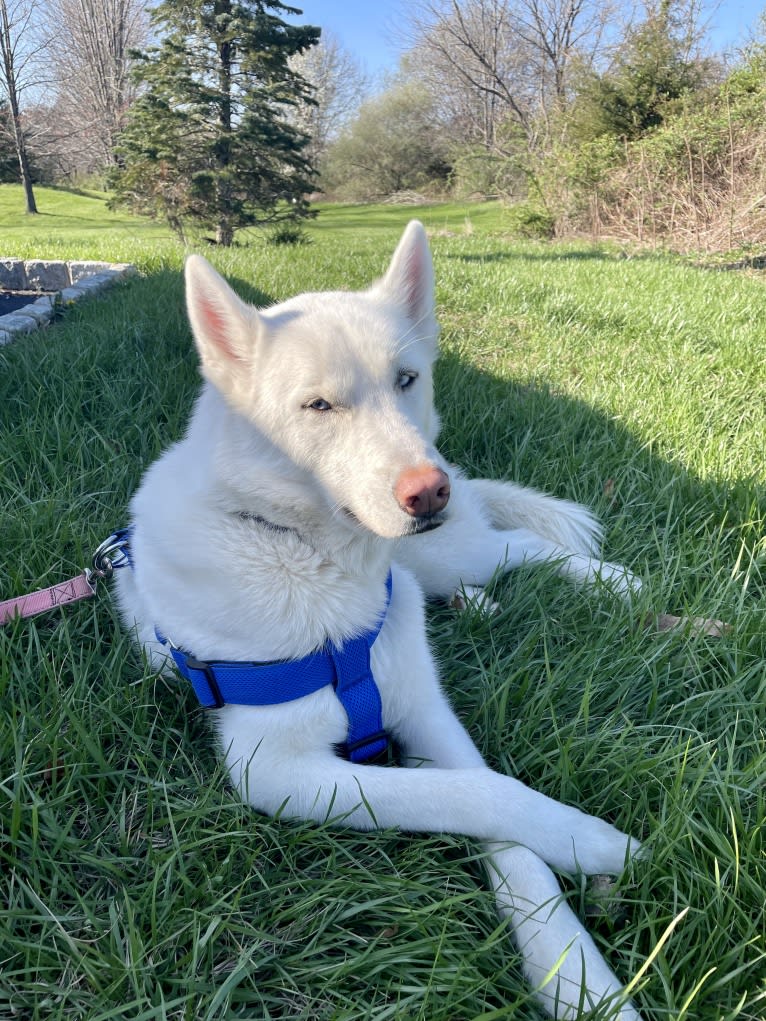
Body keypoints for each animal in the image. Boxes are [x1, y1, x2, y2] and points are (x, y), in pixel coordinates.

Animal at [118, 225, 649, 1021]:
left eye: (406, 379)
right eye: (317, 406)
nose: (429, 491)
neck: (315, 562)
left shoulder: (426, 711)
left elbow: (493, 807)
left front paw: (576, 973)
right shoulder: (273, 771)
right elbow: (476, 795)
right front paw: (588, 846)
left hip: (447, 551)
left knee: (519, 546)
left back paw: (625, 588)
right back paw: (486, 604)